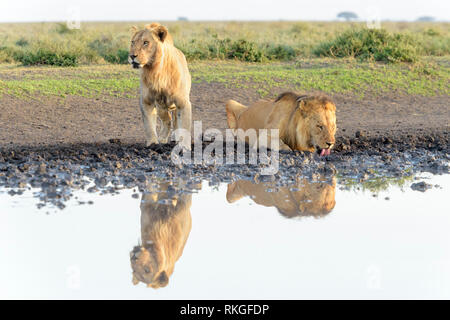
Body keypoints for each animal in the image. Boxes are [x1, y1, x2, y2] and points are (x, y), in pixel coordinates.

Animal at [128, 22, 192, 150]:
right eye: (132, 42)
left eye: (145, 42)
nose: (132, 56)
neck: (154, 71)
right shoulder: (146, 101)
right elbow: (148, 125)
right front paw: (152, 144)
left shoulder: (183, 102)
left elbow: (185, 124)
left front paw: (185, 147)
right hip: (161, 106)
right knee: (167, 119)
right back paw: (163, 138)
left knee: (175, 119)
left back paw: (176, 138)